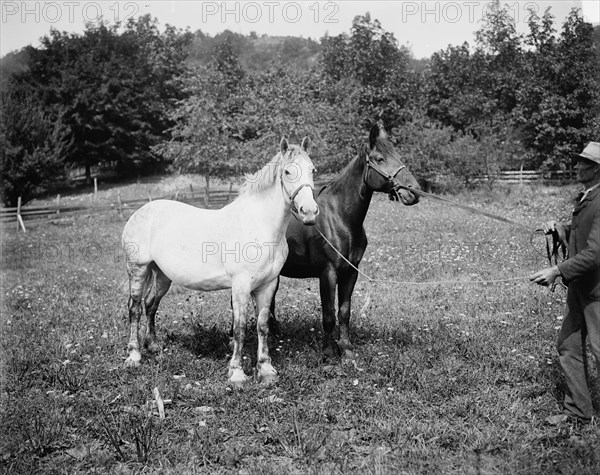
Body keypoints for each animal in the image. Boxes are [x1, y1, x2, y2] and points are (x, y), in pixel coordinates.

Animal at [122, 138, 318, 386]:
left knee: (150, 305)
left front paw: (266, 370)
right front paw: (237, 374)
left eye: (313, 170)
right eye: (287, 171)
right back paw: (134, 356)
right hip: (137, 270)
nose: (309, 212)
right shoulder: (241, 286)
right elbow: (240, 328)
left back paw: (154, 347)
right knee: (135, 308)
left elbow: (262, 326)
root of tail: (140, 212)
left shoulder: (268, 285)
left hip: (162, 276)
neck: (258, 225)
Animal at [270, 124, 420, 362]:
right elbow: (329, 314)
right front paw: (329, 354)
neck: (340, 217)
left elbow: (344, 312)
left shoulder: (351, 272)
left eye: (398, 156)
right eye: (380, 159)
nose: (413, 192)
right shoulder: (328, 272)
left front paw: (347, 350)